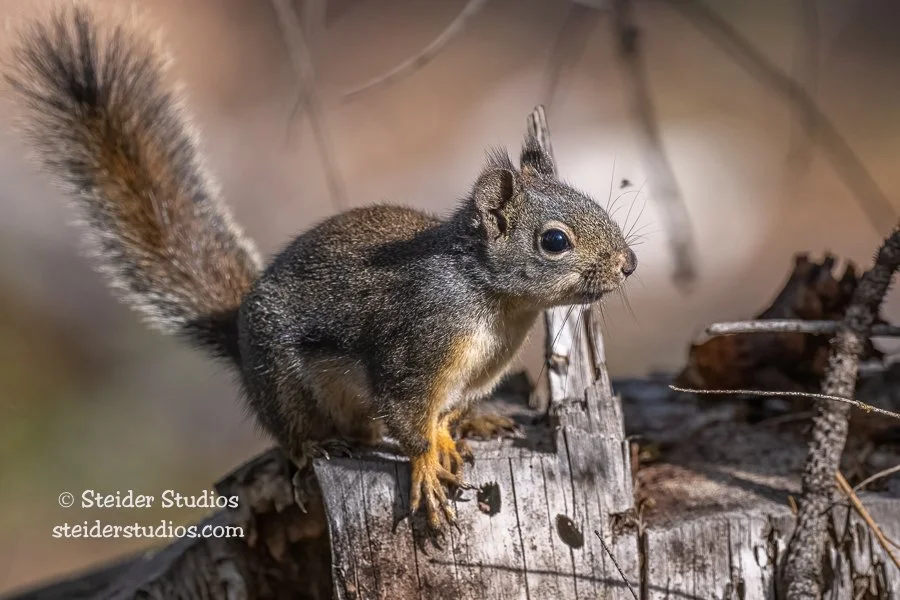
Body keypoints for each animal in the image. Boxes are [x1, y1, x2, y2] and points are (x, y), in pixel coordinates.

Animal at [5, 4, 637, 530]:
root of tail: (240, 337)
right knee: (295, 437)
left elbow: (435, 420)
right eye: (554, 241)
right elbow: (410, 421)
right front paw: (428, 471)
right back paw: (317, 448)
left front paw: (457, 433)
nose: (628, 264)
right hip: (285, 388)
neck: (495, 302)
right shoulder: (415, 349)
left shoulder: (465, 377)